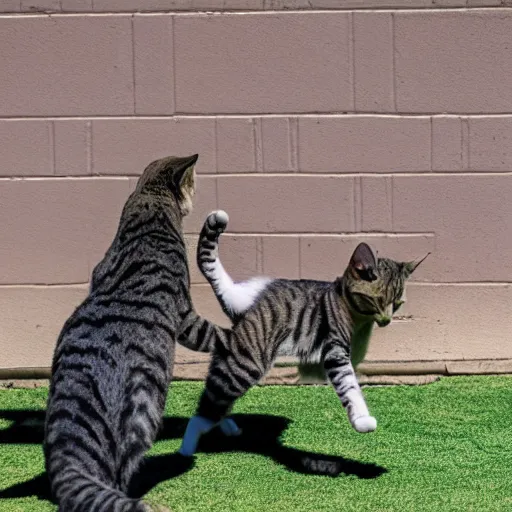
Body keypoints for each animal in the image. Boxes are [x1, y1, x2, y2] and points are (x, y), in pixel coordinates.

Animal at [177, 210, 428, 458]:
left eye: (397, 304)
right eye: (377, 301)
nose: (386, 320)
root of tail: (244, 302)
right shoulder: (335, 351)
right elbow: (350, 386)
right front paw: (362, 420)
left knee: (217, 402)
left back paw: (226, 426)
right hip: (245, 365)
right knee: (205, 411)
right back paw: (186, 449)